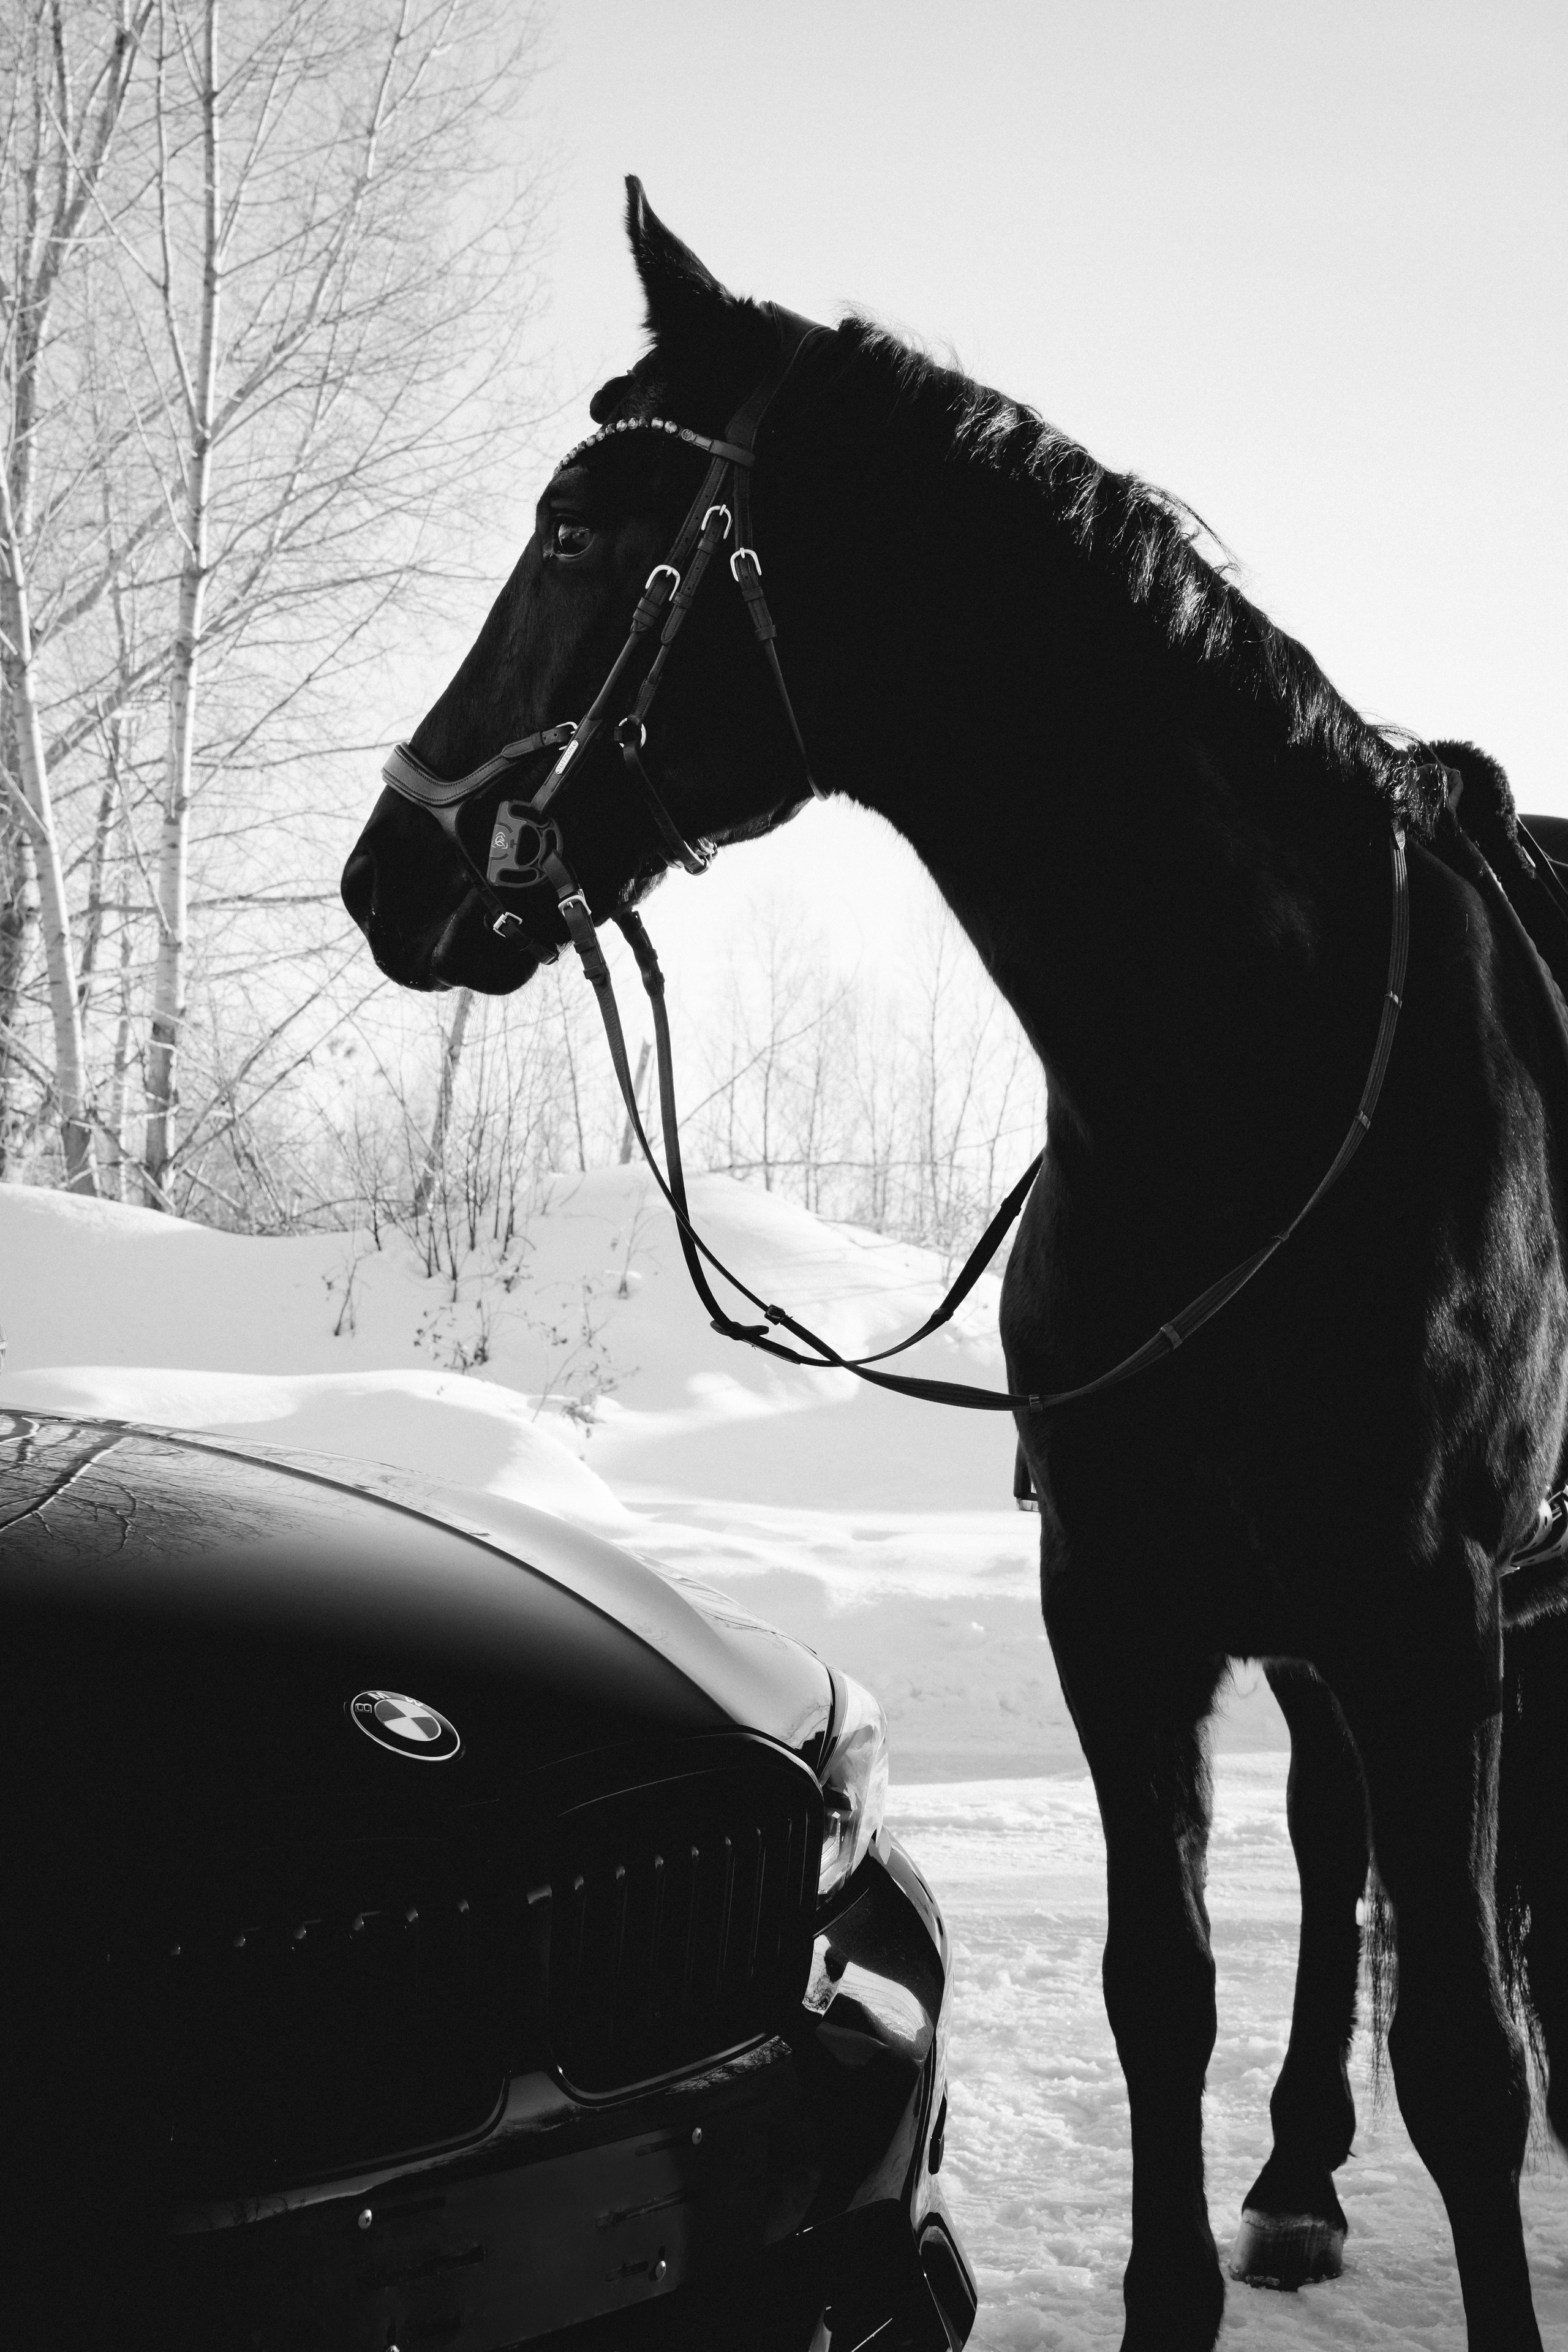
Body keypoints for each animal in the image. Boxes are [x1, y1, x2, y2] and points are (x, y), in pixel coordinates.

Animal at [342, 179, 1568, 2351]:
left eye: (572, 524)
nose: (387, 870)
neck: (1235, 1079)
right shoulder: (1123, 1599)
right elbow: (1161, 1990)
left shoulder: (1435, 1616)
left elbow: (1469, 2061)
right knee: (1329, 1848)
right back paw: (1293, 2172)